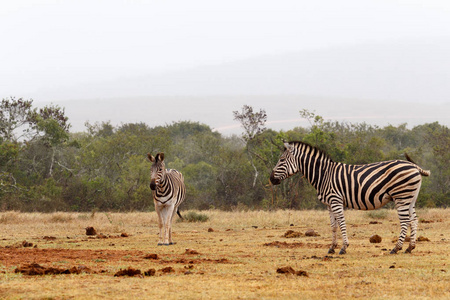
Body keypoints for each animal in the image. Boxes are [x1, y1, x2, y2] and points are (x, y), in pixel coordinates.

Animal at [268, 142, 430, 254]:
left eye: (281, 160)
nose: (271, 179)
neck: (323, 175)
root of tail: (414, 166)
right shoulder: (329, 204)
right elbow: (333, 226)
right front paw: (331, 248)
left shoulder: (336, 200)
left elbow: (342, 223)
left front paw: (343, 248)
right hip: (410, 199)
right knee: (414, 220)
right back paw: (410, 247)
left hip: (401, 197)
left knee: (405, 222)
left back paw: (396, 248)